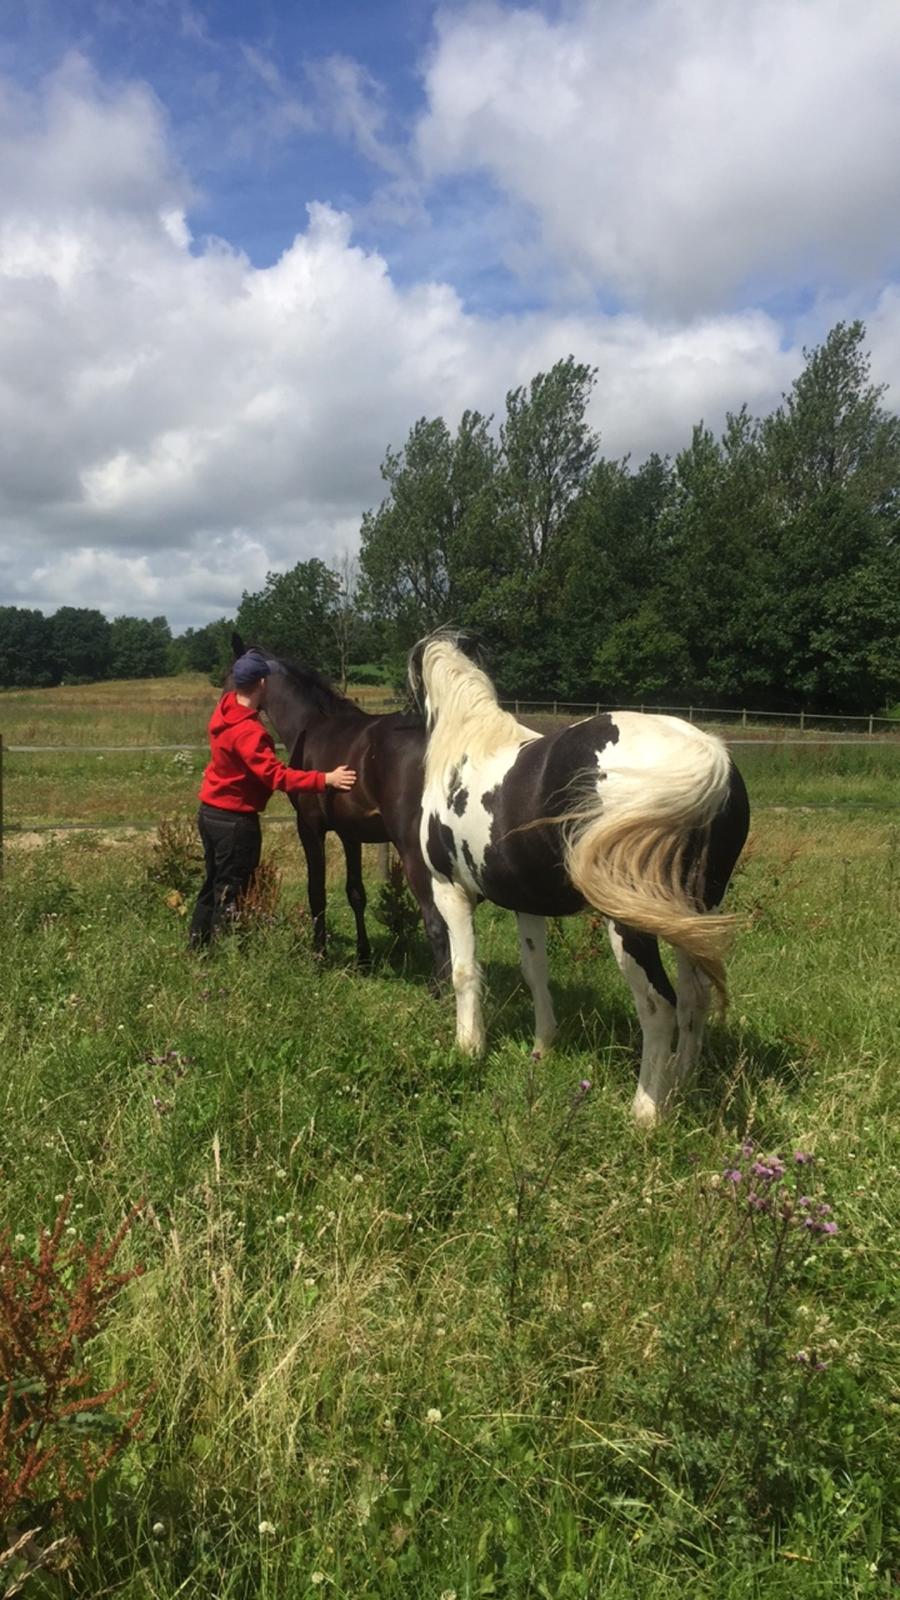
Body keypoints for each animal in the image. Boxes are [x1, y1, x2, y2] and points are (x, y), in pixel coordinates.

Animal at [225, 633, 445, 972]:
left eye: (228, 678)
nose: (223, 707)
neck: (312, 725)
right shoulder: (350, 834)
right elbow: (355, 892)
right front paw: (363, 958)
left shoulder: (310, 827)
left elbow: (316, 892)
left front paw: (319, 955)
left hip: (415, 850)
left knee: (436, 918)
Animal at [405, 624, 743, 1126]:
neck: (468, 745)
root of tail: (709, 759)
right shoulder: (526, 904)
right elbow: (535, 972)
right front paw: (542, 1047)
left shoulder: (451, 893)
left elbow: (464, 971)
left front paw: (469, 1048)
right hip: (693, 913)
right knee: (694, 998)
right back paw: (682, 1083)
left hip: (632, 924)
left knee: (659, 1006)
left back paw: (645, 1112)